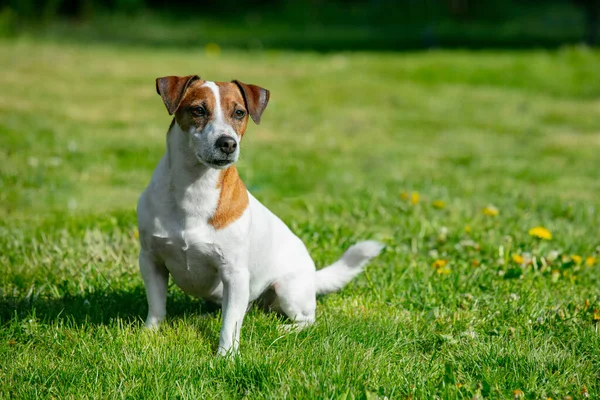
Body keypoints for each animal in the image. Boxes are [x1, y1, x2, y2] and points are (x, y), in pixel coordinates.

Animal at [137, 76, 384, 356]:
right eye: (198, 110)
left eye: (239, 113)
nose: (227, 143)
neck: (194, 188)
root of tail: (312, 276)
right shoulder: (151, 260)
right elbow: (157, 306)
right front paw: (149, 334)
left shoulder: (234, 274)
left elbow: (230, 324)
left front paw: (226, 356)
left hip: (288, 289)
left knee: (306, 319)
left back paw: (285, 329)